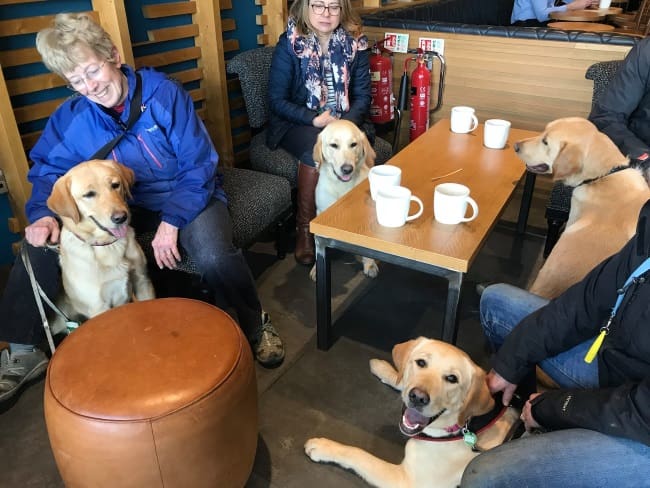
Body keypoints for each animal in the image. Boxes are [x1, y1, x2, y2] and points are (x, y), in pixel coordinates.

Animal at [304, 338, 520, 486]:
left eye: (452, 378)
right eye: (421, 363)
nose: (418, 397)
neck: (462, 428)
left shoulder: (406, 481)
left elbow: (359, 454)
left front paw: (324, 446)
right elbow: (400, 381)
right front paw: (385, 369)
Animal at [310, 118, 378, 284]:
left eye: (353, 144)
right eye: (334, 145)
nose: (347, 169)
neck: (342, 186)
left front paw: (369, 264)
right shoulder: (320, 214)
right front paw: (316, 269)